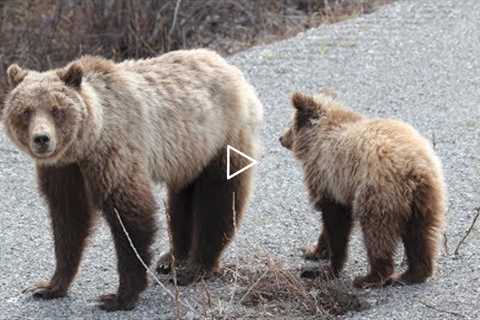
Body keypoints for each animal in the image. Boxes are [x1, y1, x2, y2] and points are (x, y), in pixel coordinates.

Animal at [1, 49, 262, 310]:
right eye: (26, 111)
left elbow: (129, 218)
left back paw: (194, 268)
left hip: (221, 137)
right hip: (187, 154)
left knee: (219, 199)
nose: (42, 139)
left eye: (57, 110)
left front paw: (119, 296)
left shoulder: (113, 153)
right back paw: (171, 258)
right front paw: (48, 286)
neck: (87, 142)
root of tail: (225, 64)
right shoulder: (63, 169)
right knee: (181, 200)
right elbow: (69, 219)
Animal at [282, 91, 446, 288]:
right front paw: (313, 250)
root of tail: (416, 168)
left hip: (379, 193)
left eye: (290, 124)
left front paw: (327, 268)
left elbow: (336, 221)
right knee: (421, 235)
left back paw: (370, 277)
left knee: (377, 232)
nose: (281, 138)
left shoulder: (331, 176)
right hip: (425, 200)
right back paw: (412, 274)